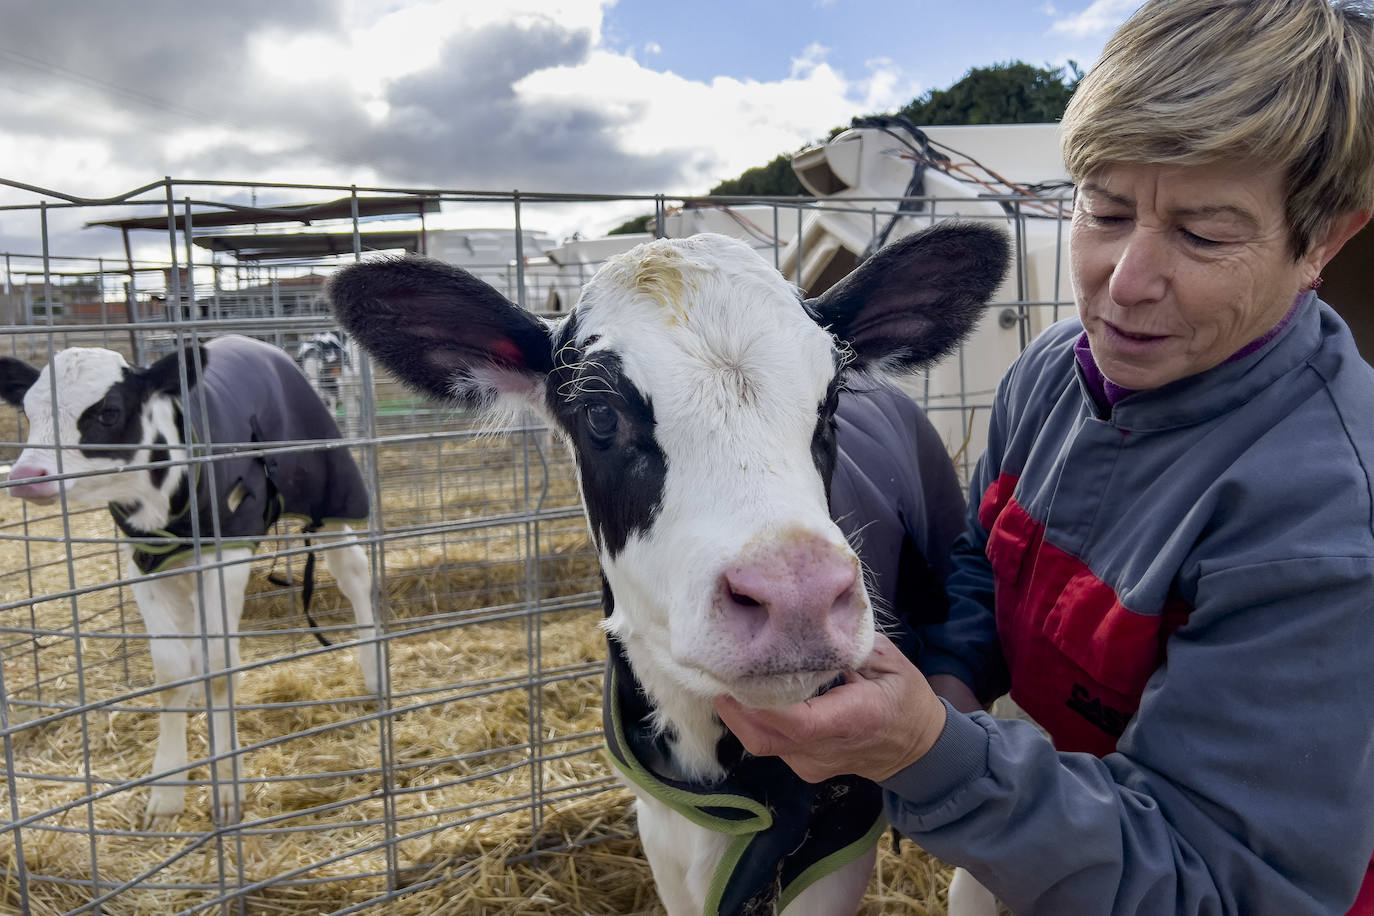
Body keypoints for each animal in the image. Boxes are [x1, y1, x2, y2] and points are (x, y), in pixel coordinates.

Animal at [0, 335, 379, 823]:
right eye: (29, 412)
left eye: (108, 412)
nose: (27, 477)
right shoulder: (144, 565)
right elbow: (172, 671)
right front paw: (166, 791)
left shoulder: (228, 554)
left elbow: (221, 667)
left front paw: (227, 787)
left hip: (328, 486)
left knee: (353, 572)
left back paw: (375, 674)